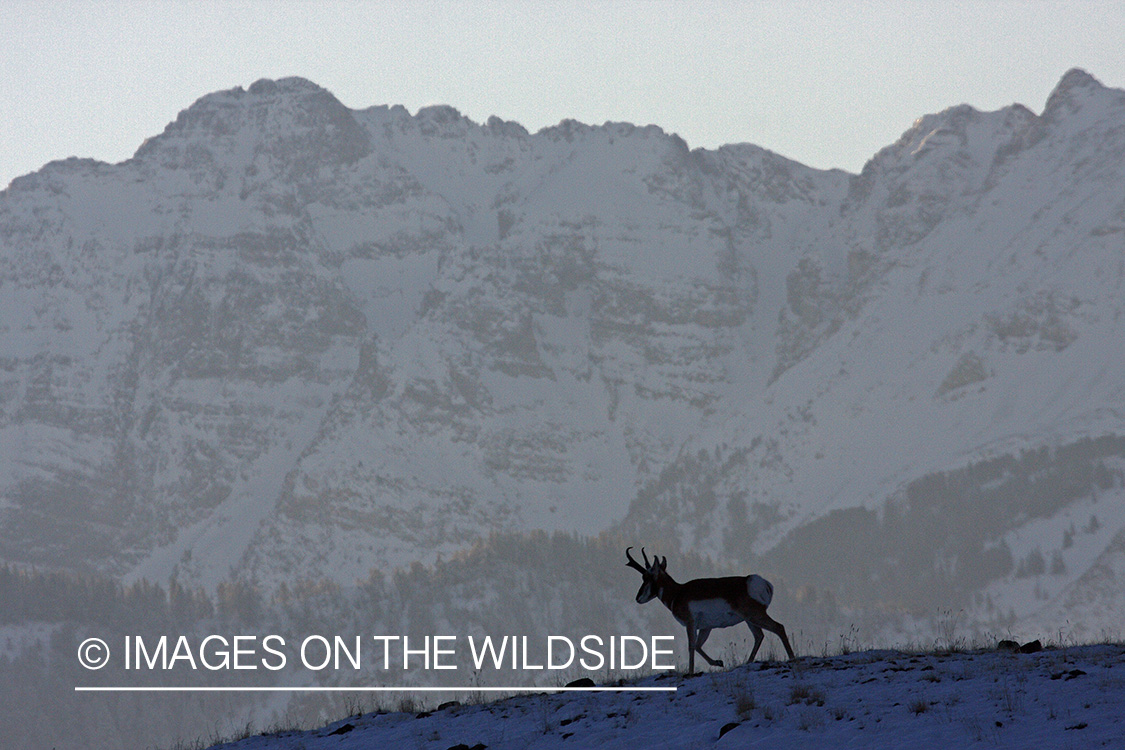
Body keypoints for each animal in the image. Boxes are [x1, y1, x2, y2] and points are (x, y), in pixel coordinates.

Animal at [630, 546, 796, 674]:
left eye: (646, 577)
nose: (637, 598)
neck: (678, 593)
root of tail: (757, 581)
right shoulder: (706, 627)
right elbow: (698, 646)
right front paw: (719, 662)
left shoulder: (691, 624)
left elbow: (691, 646)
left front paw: (691, 672)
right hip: (750, 619)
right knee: (759, 636)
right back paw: (748, 662)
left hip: (755, 615)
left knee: (778, 627)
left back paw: (792, 658)